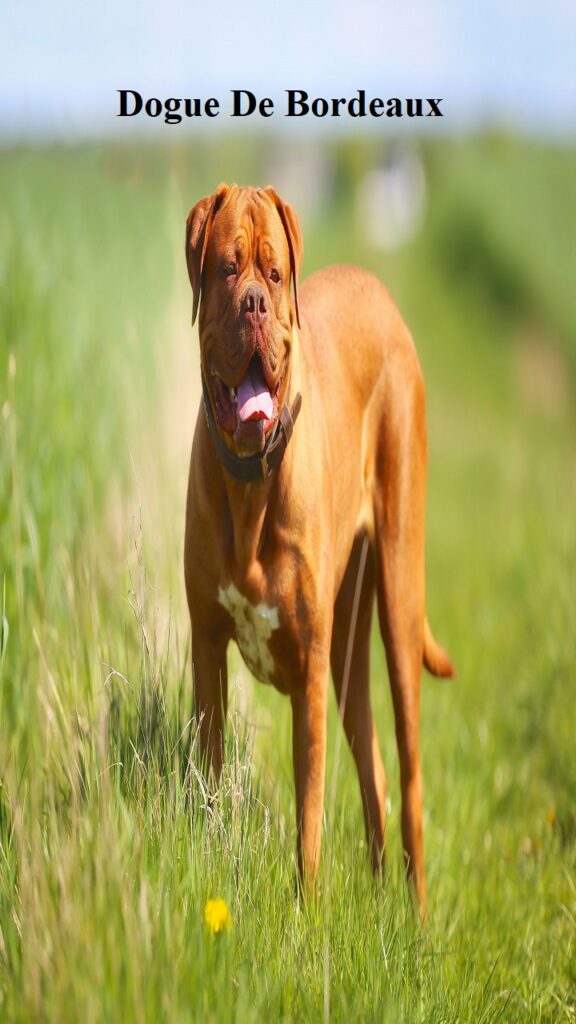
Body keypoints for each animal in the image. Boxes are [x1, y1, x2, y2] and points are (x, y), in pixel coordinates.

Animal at [181, 184, 450, 913]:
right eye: (226, 269)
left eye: (275, 275)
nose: (253, 303)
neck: (251, 480)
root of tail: (380, 292)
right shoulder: (207, 645)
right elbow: (210, 772)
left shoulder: (306, 674)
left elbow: (308, 814)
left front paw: (307, 914)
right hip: (348, 654)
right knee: (374, 770)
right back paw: (384, 899)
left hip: (399, 597)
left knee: (410, 778)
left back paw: (417, 918)